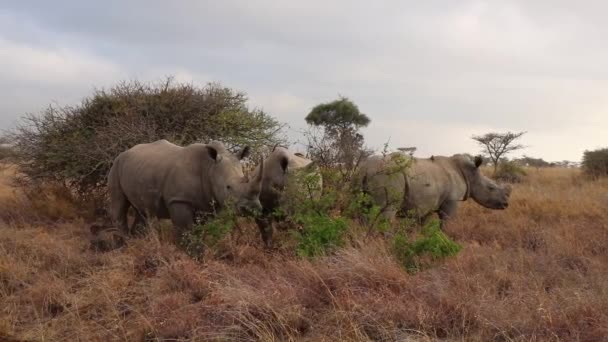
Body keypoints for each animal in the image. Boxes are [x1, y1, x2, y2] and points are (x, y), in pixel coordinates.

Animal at [107, 140, 264, 239]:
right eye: (228, 187)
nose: (251, 208)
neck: (210, 168)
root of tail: (124, 152)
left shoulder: (207, 204)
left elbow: (201, 233)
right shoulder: (179, 200)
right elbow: (186, 233)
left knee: (143, 211)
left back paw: (138, 242)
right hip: (116, 166)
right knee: (119, 205)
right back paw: (124, 245)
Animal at [358, 152, 510, 227]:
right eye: (491, 188)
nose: (506, 204)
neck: (470, 173)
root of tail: (365, 168)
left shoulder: (427, 205)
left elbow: (421, 226)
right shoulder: (451, 200)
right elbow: (446, 224)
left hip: (363, 174)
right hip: (388, 174)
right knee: (387, 211)